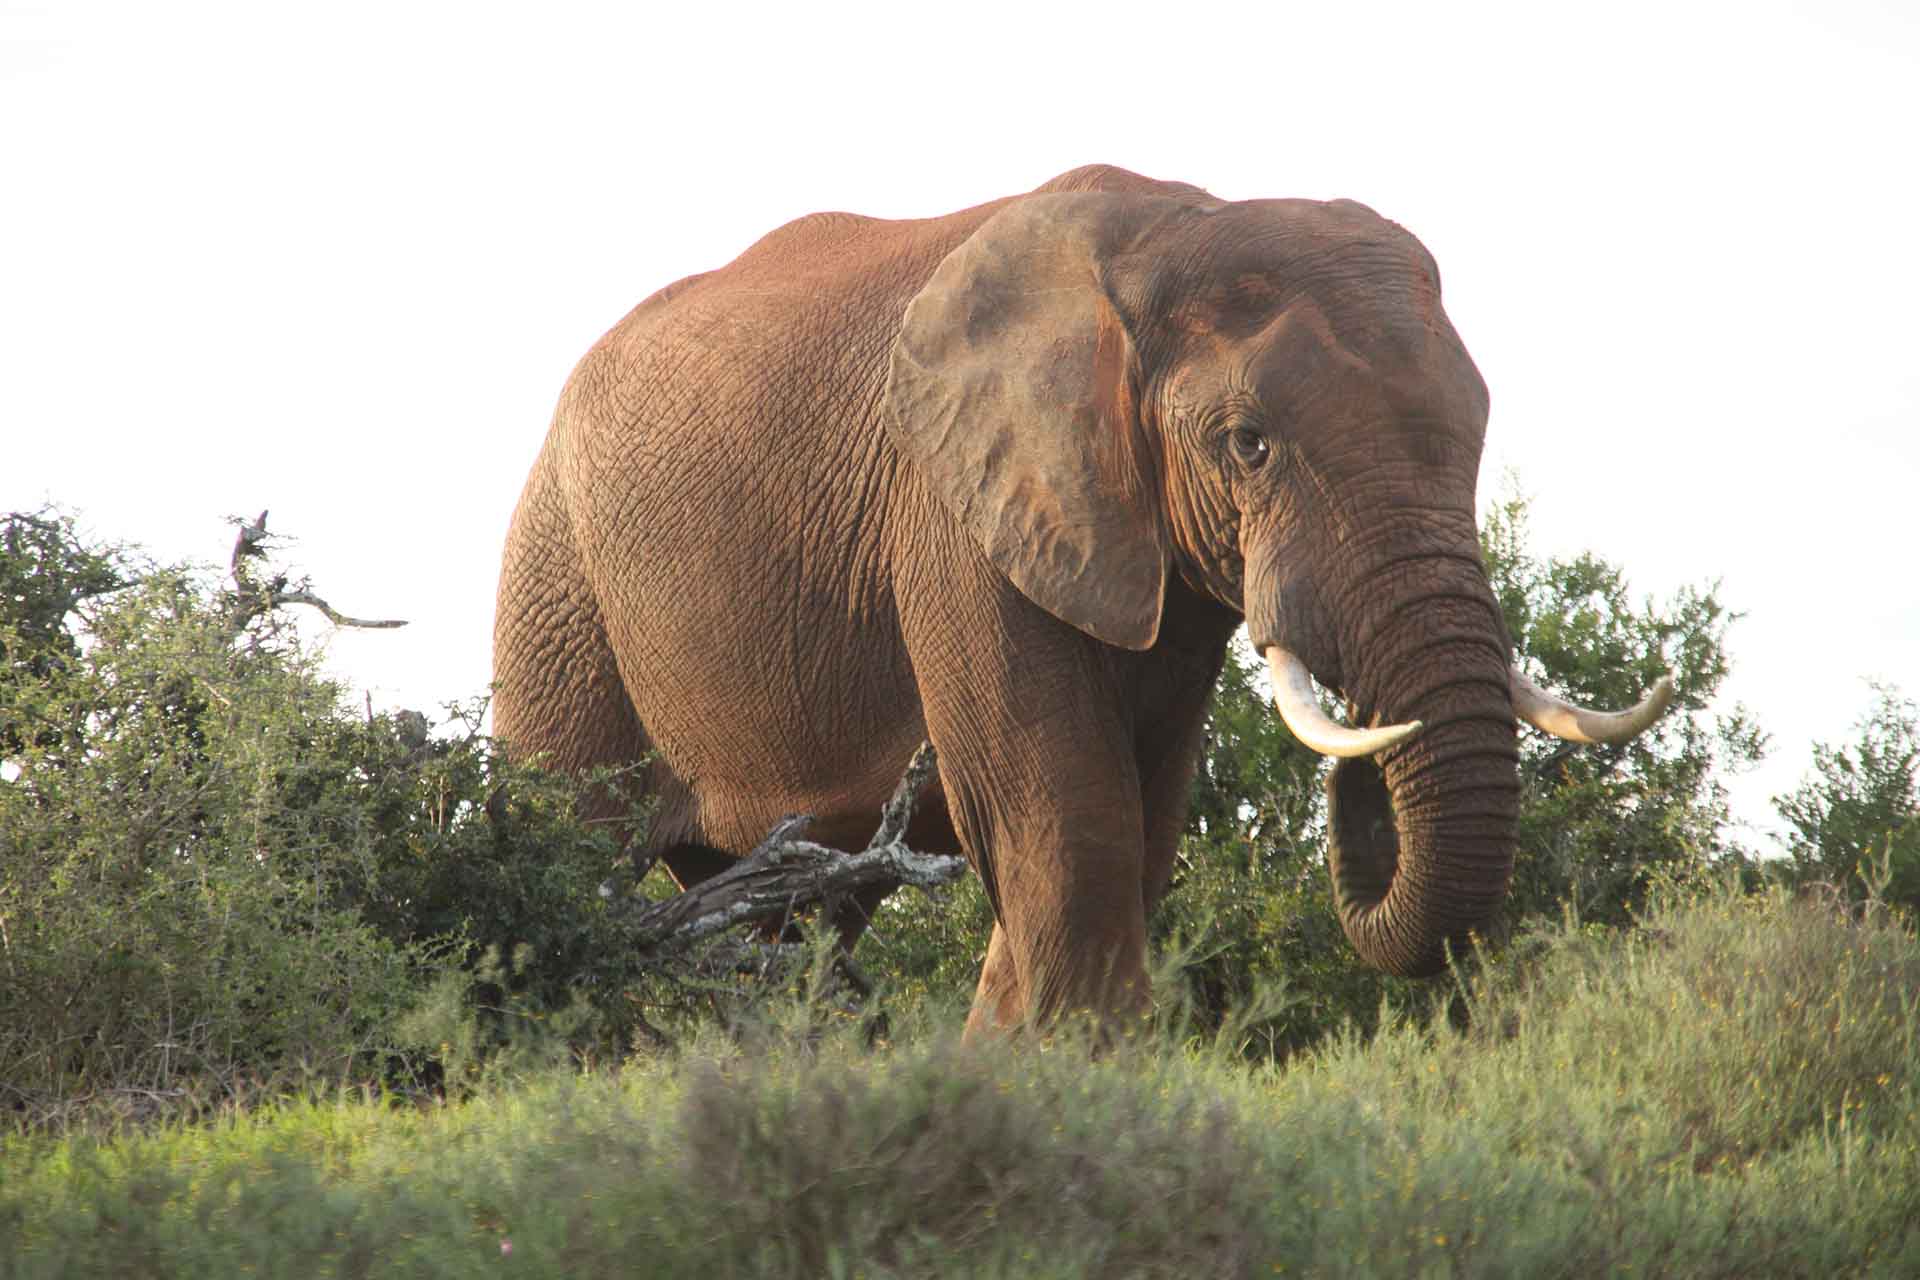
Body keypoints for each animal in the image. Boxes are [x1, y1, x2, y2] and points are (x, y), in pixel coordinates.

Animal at [491, 163, 1666, 1043]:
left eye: (1476, 433)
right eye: (1249, 443)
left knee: (804, 919)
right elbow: (1063, 815)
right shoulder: (957, 511)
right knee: (571, 853)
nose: (1365, 757)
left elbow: (1141, 822)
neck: (1169, 232)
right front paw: (1063, 1076)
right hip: (558, 582)